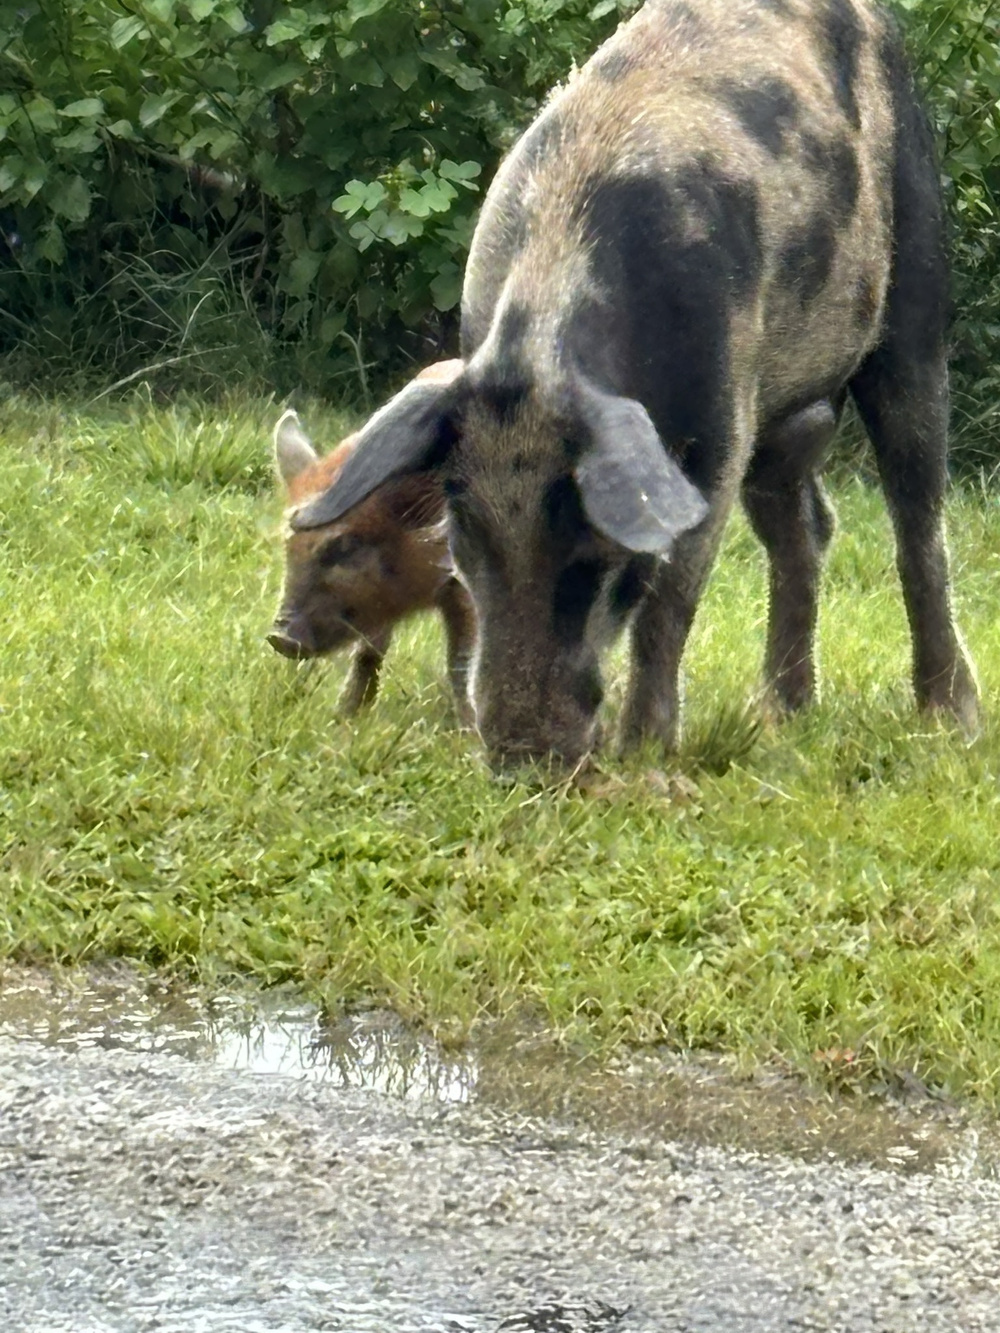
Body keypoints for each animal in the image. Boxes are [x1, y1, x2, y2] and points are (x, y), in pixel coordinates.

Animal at [268, 361, 477, 722]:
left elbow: (461, 663)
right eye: (288, 546)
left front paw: (469, 732)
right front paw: (344, 718)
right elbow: (368, 650)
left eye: (344, 547)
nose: (279, 636)